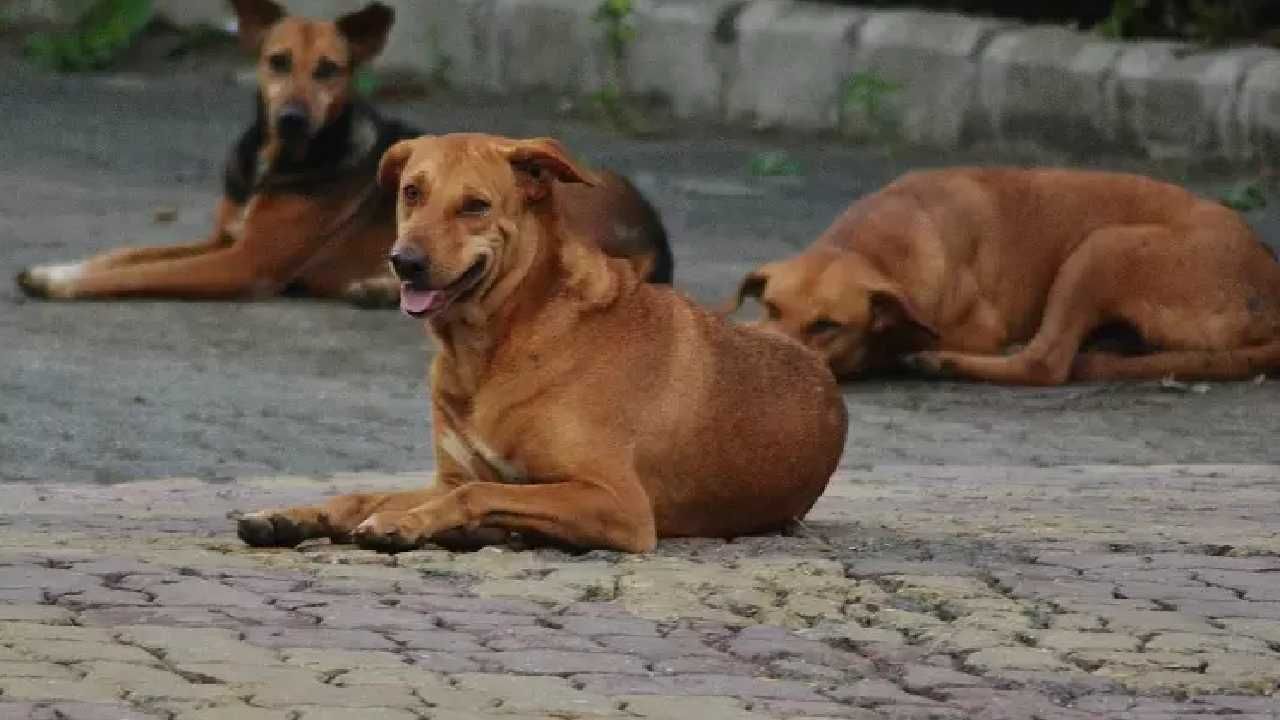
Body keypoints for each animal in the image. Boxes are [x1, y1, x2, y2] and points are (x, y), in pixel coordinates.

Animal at [15, 0, 675, 302]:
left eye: (331, 70)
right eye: (277, 62)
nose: (292, 117)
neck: (279, 161)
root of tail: (653, 227)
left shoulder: (243, 264)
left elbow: (141, 273)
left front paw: (63, 286)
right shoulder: (226, 237)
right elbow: (128, 253)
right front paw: (56, 268)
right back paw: (379, 286)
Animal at [238, 131, 849, 550]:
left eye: (476, 205)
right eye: (412, 193)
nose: (403, 262)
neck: (496, 344)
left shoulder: (617, 504)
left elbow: (478, 494)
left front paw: (404, 522)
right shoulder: (451, 474)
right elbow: (370, 492)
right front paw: (296, 515)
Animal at [727, 167, 1280, 384]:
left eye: (827, 326)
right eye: (772, 307)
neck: (874, 242)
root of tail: (1268, 276)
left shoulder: (975, 327)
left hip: (1101, 247)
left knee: (1046, 363)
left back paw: (943, 362)